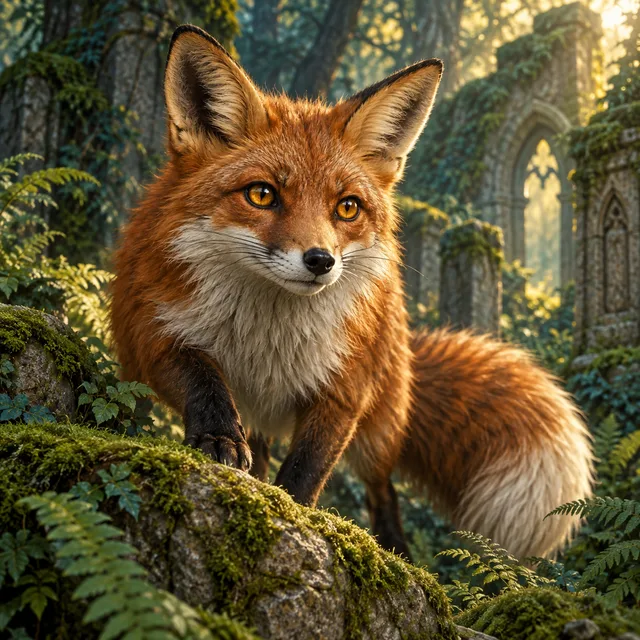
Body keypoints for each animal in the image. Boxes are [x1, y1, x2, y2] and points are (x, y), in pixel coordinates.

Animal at [110, 24, 594, 560]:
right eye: (261, 194)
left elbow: (306, 471)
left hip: (379, 428)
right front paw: (219, 439)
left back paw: (395, 546)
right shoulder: (151, 331)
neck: (266, 339)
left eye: (347, 207)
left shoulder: (346, 388)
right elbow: (203, 382)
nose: (321, 261)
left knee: (382, 486)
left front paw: (293, 517)